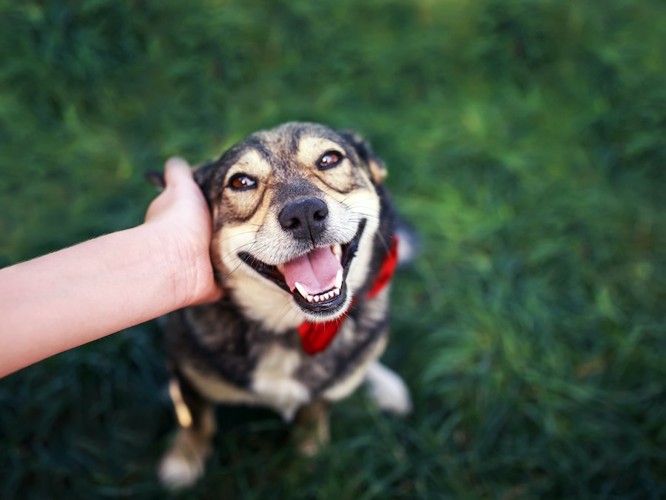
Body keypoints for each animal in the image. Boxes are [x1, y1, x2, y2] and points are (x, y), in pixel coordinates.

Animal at [158, 121, 412, 488]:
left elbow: (314, 410)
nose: (304, 213)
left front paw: (310, 451)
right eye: (241, 181)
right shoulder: (186, 371)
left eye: (330, 158)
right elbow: (195, 418)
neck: (289, 328)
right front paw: (183, 460)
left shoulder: (324, 389)